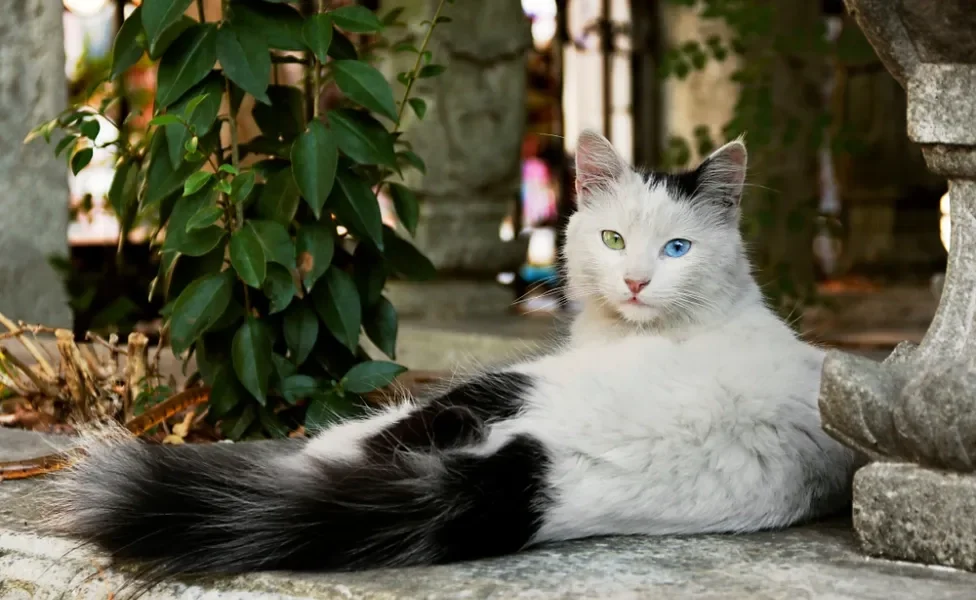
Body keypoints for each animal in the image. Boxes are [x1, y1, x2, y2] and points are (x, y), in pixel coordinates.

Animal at [45, 129, 856, 580]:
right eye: (614, 238)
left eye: (678, 248)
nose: (634, 280)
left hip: (503, 387)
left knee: (363, 439)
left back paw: (306, 449)